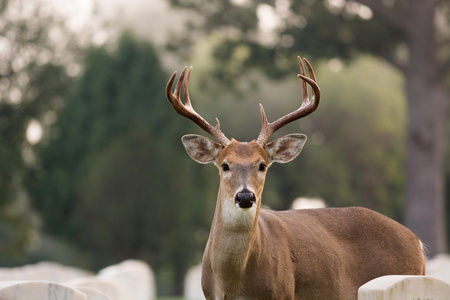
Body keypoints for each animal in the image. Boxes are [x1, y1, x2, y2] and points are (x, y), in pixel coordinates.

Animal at [166, 56, 426, 300]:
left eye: (262, 165)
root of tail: (417, 242)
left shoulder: (282, 292)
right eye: (224, 165)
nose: (245, 196)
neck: (232, 280)